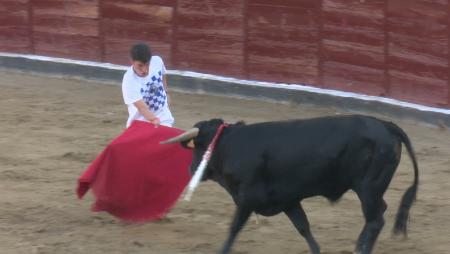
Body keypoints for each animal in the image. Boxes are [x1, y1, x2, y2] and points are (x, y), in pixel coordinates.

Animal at [162, 115, 418, 254]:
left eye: (199, 146)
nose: (191, 169)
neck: (229, 145)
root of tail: (385, 125)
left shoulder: (246, 199)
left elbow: (234, 228)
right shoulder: (288, 200)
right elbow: (303, 227)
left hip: (368, 188)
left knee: (375, 220)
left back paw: (359, 248)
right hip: (371, 189)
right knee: (378, 215)